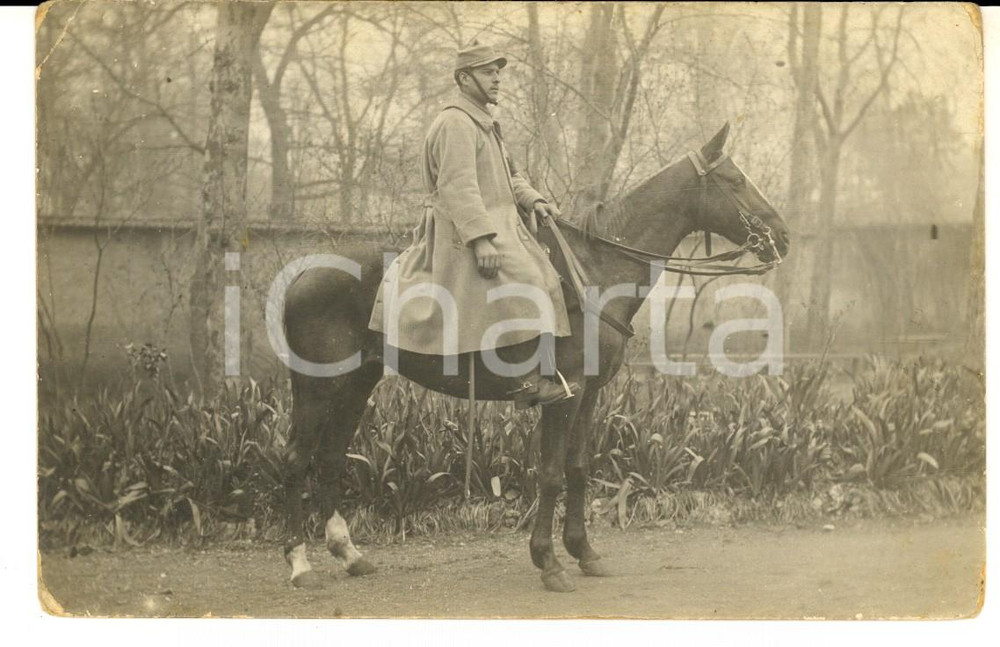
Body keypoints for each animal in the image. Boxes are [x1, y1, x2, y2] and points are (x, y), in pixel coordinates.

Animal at [279, 123, 790, 592]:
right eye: (735, 180)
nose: (783, 236)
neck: (595, 272)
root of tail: (305, 271)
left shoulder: (588, 395)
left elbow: (578, 468)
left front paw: (584, 551)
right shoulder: (563, 395)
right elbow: (549, 474)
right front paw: (548, 561)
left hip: (356, 384)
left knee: (329, 457)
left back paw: (350, 554)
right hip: (317, 388)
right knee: (297, 458)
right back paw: (300, 563)